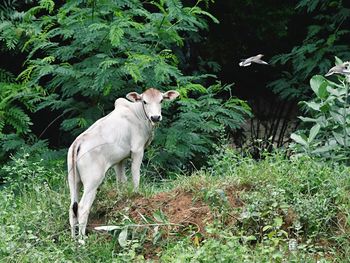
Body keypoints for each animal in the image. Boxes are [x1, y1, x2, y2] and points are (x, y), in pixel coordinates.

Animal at [67, 88, 179, 239]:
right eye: (144, 101)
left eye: (161, 100)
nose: (155, 117)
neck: (138, 114)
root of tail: (77, 143)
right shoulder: (137, 150)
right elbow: (135, 176)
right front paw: (137, 195)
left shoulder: (119, 160)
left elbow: (121, 181)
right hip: (92, 181)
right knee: (83, 208)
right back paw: (82, 240)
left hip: (73, 181)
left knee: (72, 209)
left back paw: (73, 239)